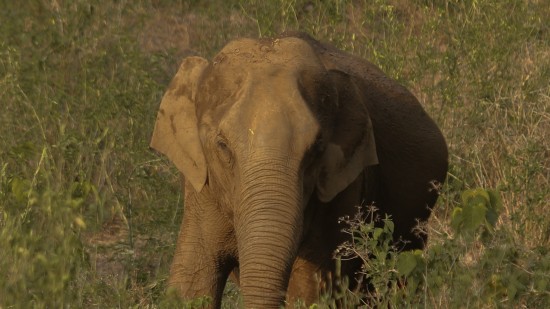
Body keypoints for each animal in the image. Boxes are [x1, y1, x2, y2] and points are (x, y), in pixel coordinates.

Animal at [150, 31, 448, 308]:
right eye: (222, 146)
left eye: (317, 148)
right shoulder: (201, 189)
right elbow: (192, 281)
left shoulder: (342, 189)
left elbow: (310, 286)